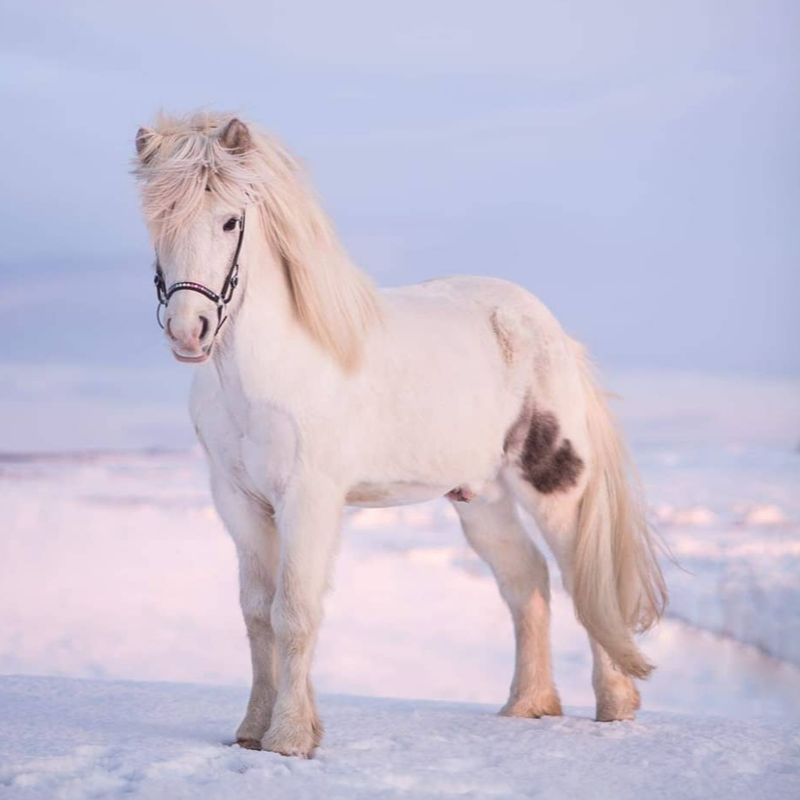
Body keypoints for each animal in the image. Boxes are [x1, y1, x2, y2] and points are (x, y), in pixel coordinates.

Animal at [133, 112, 667, 758]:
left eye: (229, 220)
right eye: (157, 218)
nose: (191, 331)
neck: (265, 368)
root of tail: (550, 331)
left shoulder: (309, 500)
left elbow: (295, 612)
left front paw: (290, 738)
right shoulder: (240, 504)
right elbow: (257, 615)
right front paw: (253, 732)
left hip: (555, 488)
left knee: (585, 584)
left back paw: (614, 706)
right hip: (481, 501)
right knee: (528, 584)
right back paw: (528, 705)